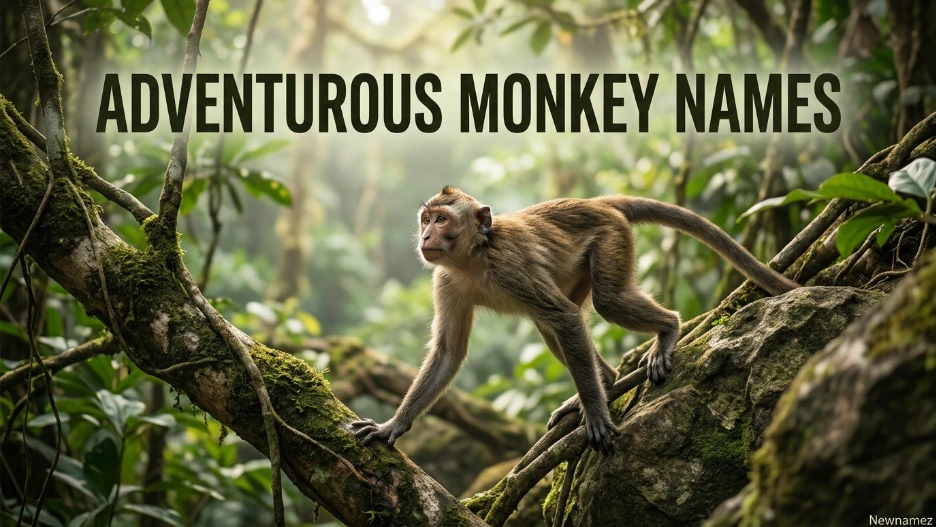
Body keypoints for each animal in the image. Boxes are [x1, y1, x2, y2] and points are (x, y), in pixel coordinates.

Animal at [350, 186, 798, 455]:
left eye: (441, 219)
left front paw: (598, 418)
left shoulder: (509, 266)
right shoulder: (446, 279)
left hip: (611, 240)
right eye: (426, 219)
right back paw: (606, 380)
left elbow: (565, 318)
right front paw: (393, 426)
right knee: (552, 325)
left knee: (603, 304)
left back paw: (666, 332)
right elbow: (448, 352)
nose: (426, 237)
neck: (475, 256)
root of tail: (599, 202)